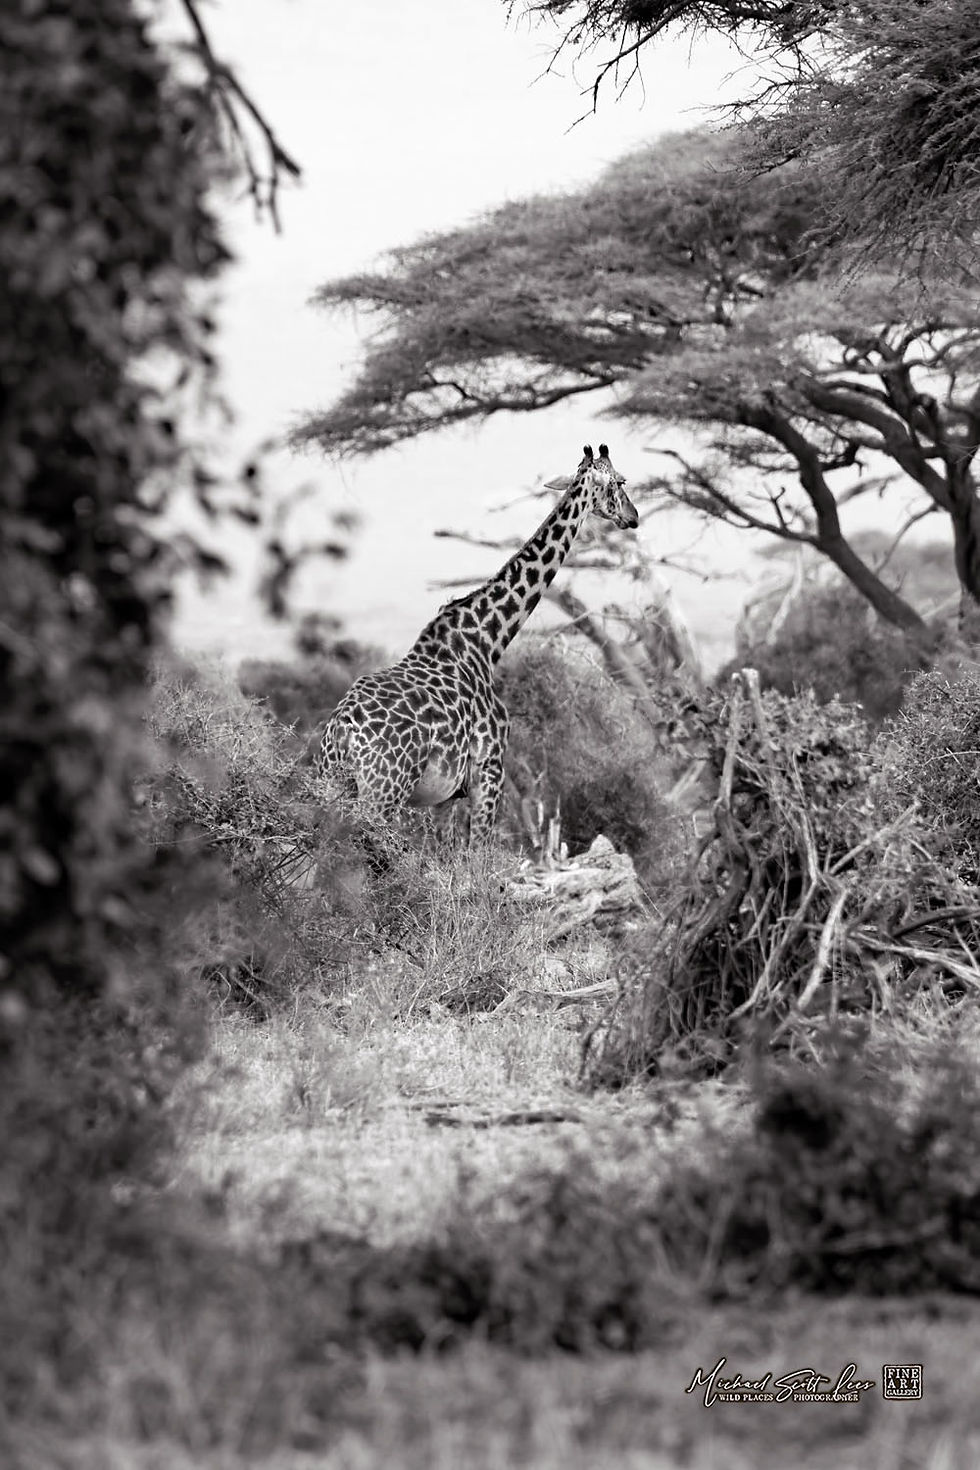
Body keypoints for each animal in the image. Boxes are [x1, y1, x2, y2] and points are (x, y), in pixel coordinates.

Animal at [316, 443, 638, 842]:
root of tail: (344, 732)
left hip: (331, 783)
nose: (633, 517)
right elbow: (477, 852)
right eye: (620, 482)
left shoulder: (446, 796)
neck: (487, 640)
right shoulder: (489, 772)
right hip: (382, 793)